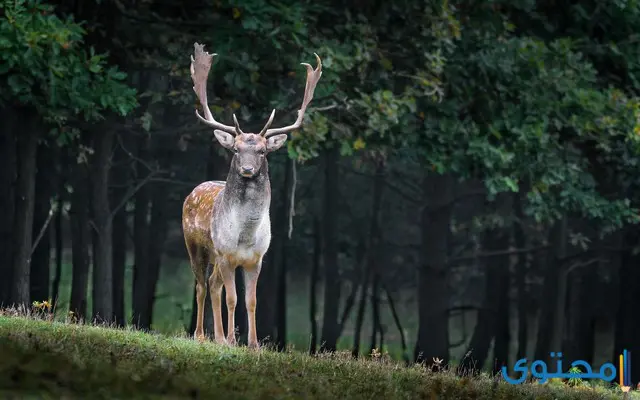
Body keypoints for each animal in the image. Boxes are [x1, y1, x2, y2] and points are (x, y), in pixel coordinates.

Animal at [181, 43, 322, 348]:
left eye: (262, 151)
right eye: (236, 149)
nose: (247, 169)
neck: (245, 235)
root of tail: (193, 192)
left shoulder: (256, 259)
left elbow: (251, 301)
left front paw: (253, 344)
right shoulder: (226, 254)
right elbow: (233, 299)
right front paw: (233, 340)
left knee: (213, 285)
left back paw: (217, 337)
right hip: (195, 245)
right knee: (201, 285)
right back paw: (202, 335)